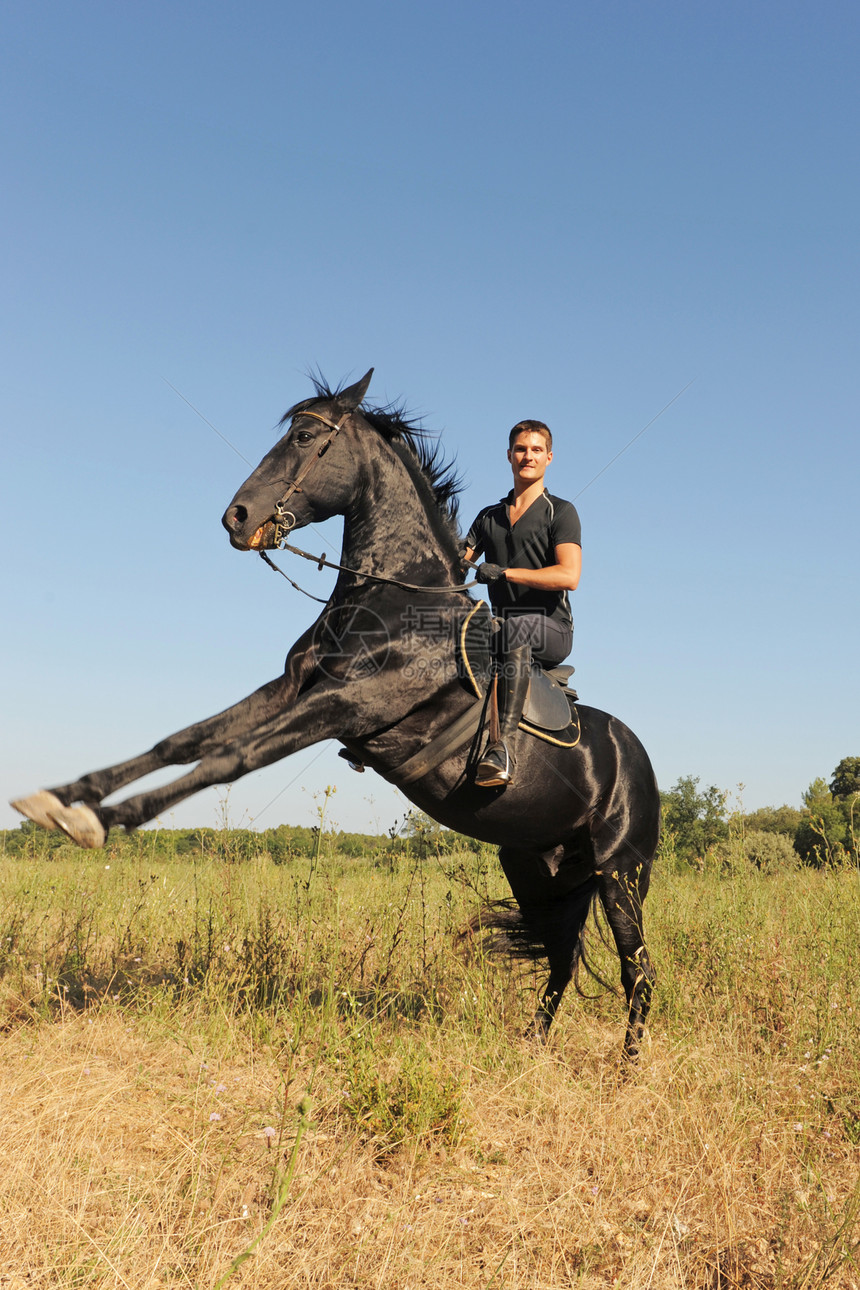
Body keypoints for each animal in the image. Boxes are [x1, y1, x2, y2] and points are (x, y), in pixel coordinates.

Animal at [11, 371, 660, 1057]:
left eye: (302, 437)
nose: (236, 518)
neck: (387, 596)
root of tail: (638, 761)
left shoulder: (346, 706)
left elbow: (232, 756)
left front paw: (106, 820)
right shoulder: (291, 688)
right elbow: (184, 741)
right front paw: (63, 798)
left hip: (621, 871)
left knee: (636, 969)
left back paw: (625, 1066)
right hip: (536, 864)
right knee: (561, 956)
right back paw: (532, 1048)